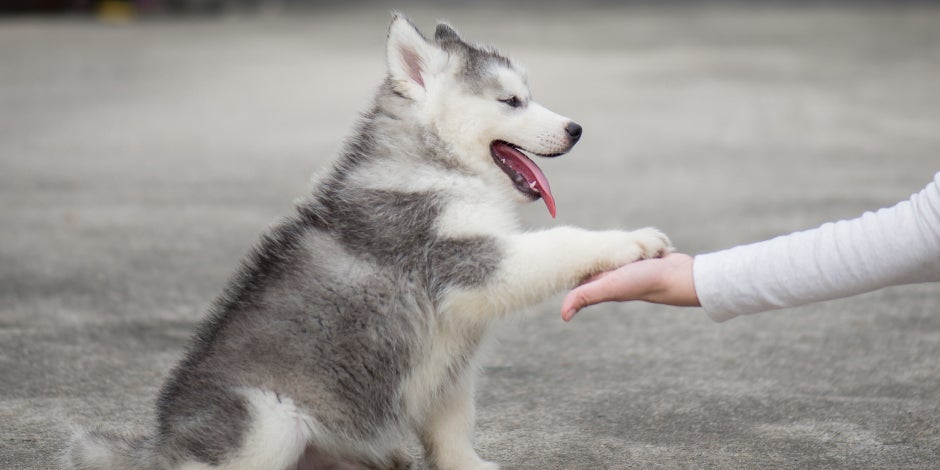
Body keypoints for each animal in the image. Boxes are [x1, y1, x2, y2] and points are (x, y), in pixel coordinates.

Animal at [66, 12, 668, 470]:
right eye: (512, 101)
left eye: (527, 96)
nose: (576, 129)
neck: (437, 164)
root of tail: (160, 442)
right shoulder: (463, 261)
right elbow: (561, 242)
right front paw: (632, 241)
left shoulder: (450, 360)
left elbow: (452, 428)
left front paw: (467, 464)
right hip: (266, 421)